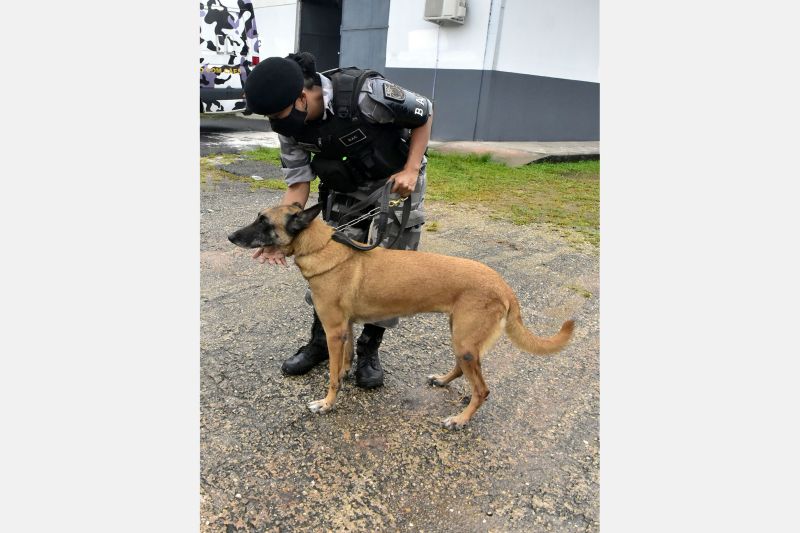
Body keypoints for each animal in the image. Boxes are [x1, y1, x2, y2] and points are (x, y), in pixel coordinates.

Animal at [228, 202, 572, 430]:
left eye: (263, 221)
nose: (231, 236)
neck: (321, 246)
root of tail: (504, 286)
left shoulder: (334, 329)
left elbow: (332, 376)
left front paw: (326, 404)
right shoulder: (346, 327)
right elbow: (345, 360)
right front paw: (345, 375)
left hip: (464, 342)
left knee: (482, 389)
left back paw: (459, 420)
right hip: (461, 338)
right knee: (463, 372)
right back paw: (443, 381)